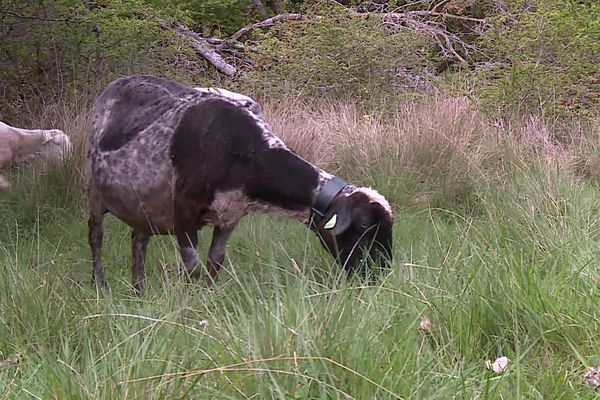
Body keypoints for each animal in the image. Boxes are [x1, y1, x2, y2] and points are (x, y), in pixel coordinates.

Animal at [86, 75, 392, 292]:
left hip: (144, 204)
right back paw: (101, 287)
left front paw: (207, 298)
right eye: (364, 225)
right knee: (96, 235)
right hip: (95, 189)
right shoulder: (184, 208)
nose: (380, 275)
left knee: (138, 240)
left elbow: (214, 263)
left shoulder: (230, 215)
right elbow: (193, 265)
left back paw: (140, 290)